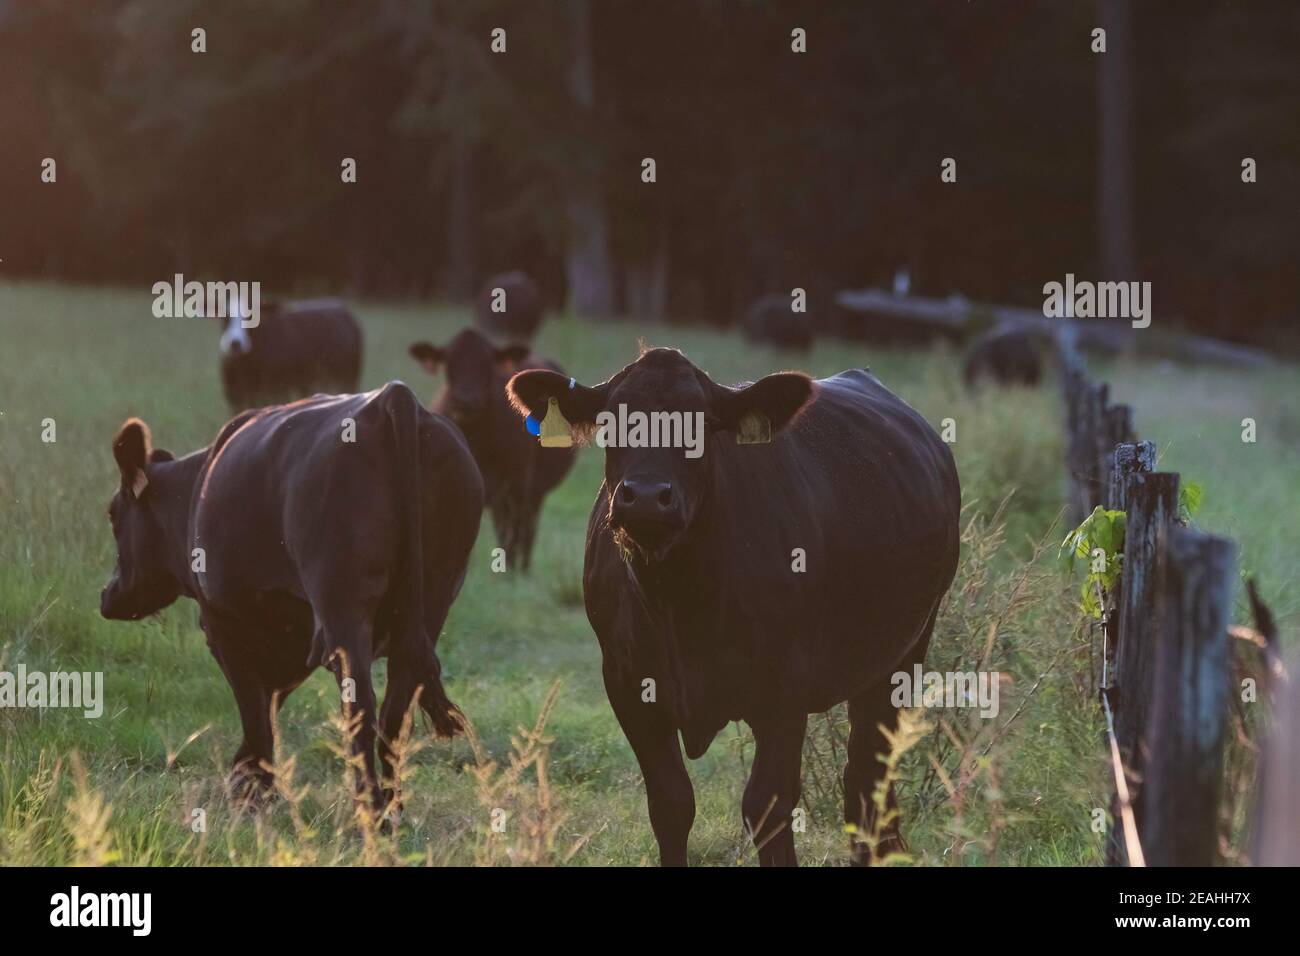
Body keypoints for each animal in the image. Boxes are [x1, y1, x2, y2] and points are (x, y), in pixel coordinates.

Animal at [99, 382, 483, 814]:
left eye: (113, 513)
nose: (107, 595)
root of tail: (394, 396)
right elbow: (269, 705)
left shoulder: (223, 623)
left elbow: (255, 708)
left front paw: (251, 789)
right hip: (431, 600)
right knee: (395, 710)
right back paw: (392, 808)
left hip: (342, 606)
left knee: (361, 707)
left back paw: (369, 811)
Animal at [218, 298, 362, 410]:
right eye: (224, 317)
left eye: (251, 317)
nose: (235, 343)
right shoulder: (234, 395)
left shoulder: (276, 391)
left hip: (348, 378)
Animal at [409, 328, 575, 572]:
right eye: (449, 362)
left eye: (487, 364)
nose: (466, 400)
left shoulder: (515, 487)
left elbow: (512, 537)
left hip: (532, 493)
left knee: (525, 532)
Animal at [508, 348, 961, 866]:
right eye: (611, 421)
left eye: (702, 424)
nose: (646, 497)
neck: (678, 599)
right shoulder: (628, 687)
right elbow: (671, 802)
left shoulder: (784, 693)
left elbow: (767, 806)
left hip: (904, 655)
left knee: (867, 775)